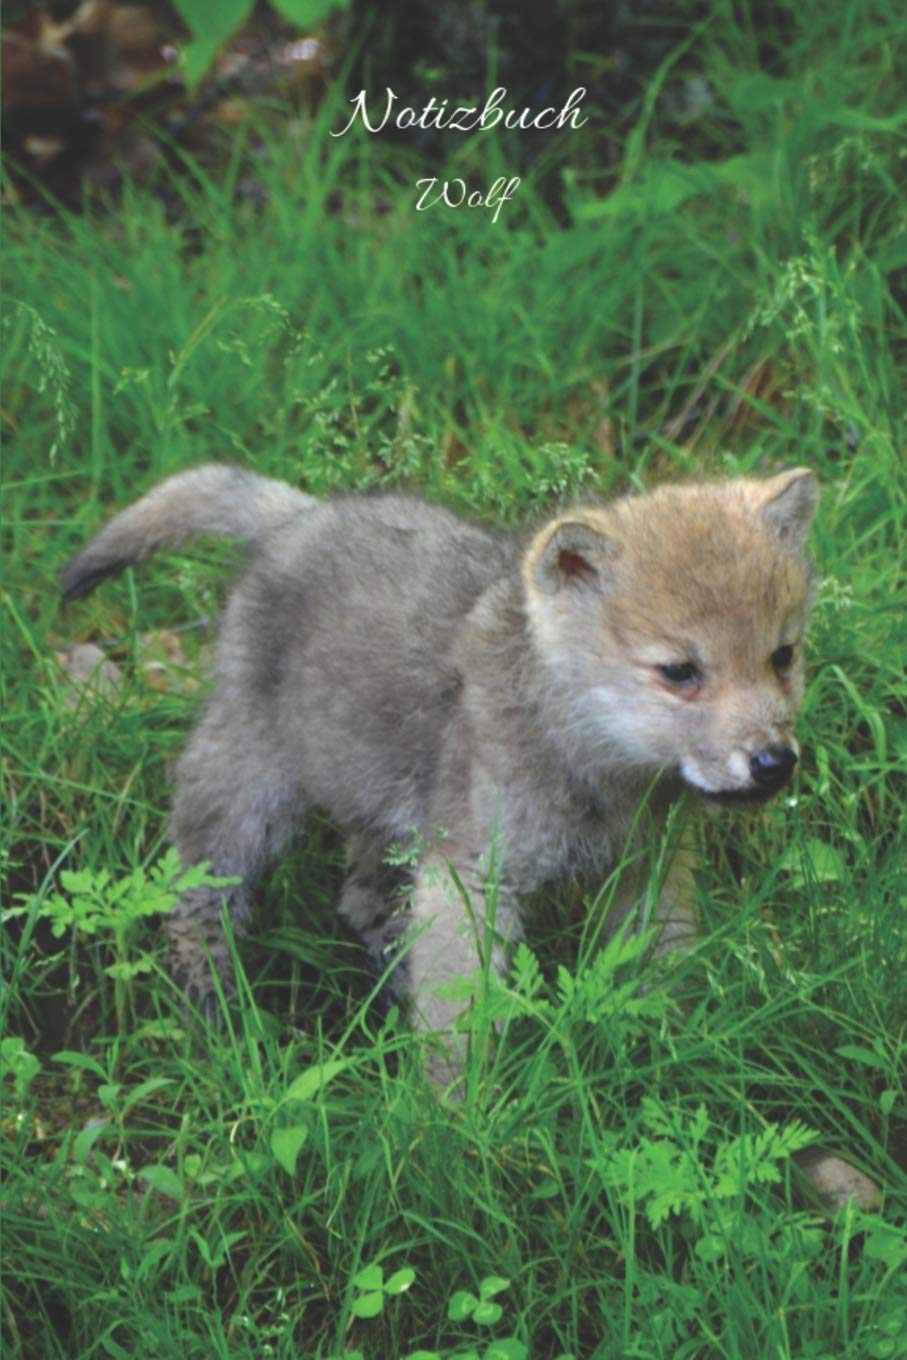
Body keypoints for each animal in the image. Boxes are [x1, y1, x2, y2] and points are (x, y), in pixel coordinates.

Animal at [62, 464, 819, 1073]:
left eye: (782, 656)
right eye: (680, 671)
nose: (774, 763)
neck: (589, 763)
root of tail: (296, 517)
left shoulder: (647, 868)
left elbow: (657, 971)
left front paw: (667, 1054)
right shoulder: (471, 876)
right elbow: (463, 1020)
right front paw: (455, 1123)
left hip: (380, 806)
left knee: (361, 902)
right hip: (247, 791)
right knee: (195, 899)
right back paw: (217, 1020)